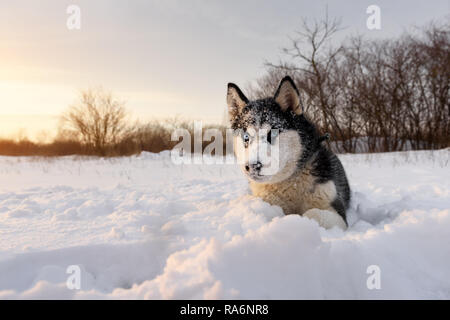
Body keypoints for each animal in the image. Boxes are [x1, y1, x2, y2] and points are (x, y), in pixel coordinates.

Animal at [227, 75, 350, 230]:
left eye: (272, 134)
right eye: (246, 137)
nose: (253, 166)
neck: (290, 183)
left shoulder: (335, 210)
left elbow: (312, 213)